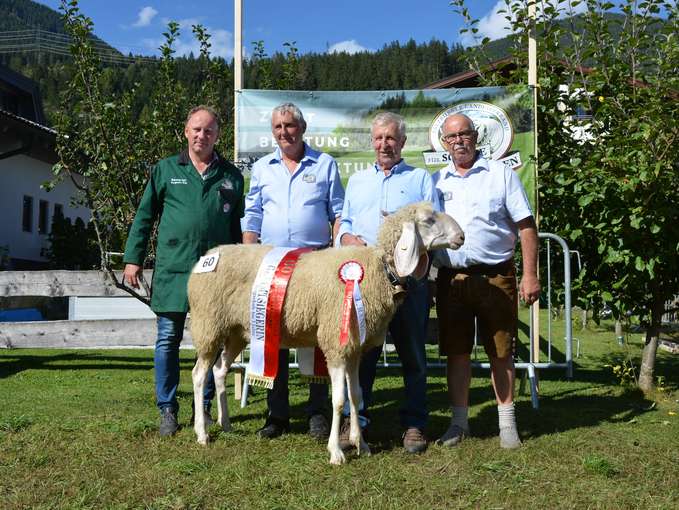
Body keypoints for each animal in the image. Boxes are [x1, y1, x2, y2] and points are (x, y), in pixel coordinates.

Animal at [189, 201, 464, 464]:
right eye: (428, 220)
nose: (461, 236)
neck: (377, 270)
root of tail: (207, 256)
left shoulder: (353, 347)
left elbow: (356, 395)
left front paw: (361, 445)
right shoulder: (336, 342)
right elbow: (339, 399)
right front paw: (336, 452)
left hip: (235, 331)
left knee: (219, 370)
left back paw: (226, 424)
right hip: (208, 324)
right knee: (199, 375)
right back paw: (202, 433)